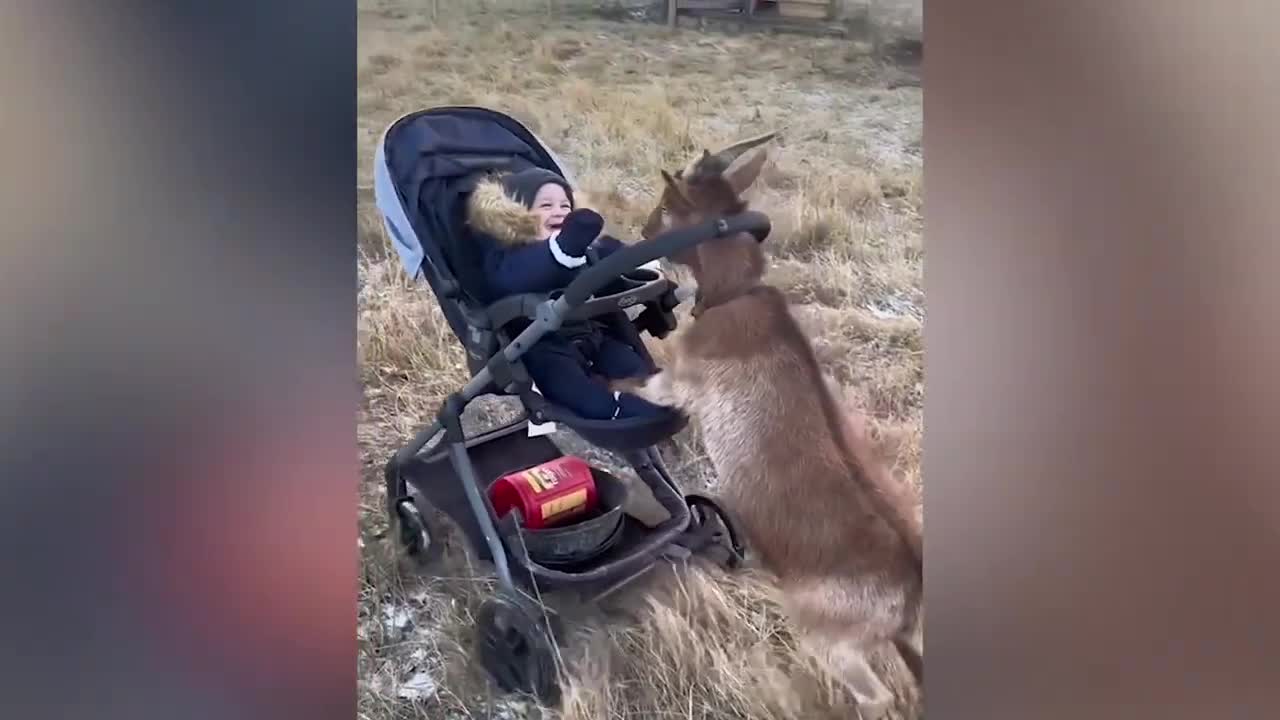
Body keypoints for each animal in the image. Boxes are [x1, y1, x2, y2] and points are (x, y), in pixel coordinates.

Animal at [616, 135, 921, 712]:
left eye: (667, 204)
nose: (641, 233)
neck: (736, 296)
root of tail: (911, 582)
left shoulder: (680, 383)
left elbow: (636, 386)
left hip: (831, 637)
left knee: (877, 699)